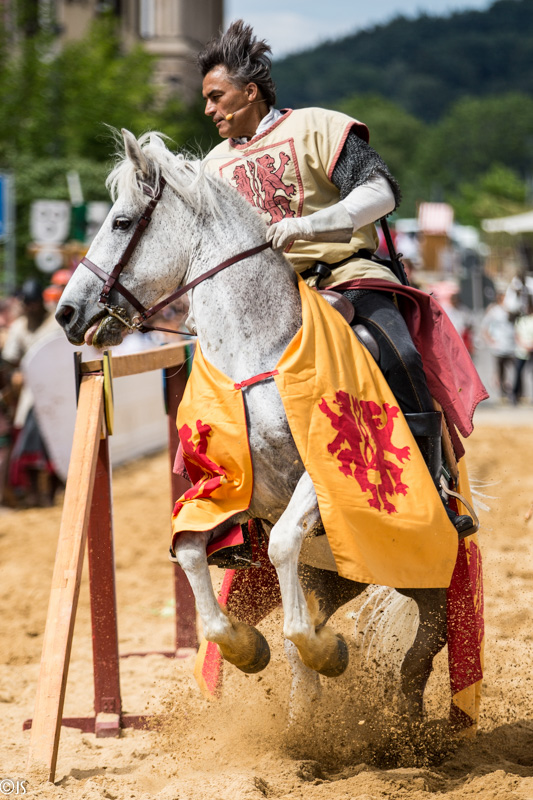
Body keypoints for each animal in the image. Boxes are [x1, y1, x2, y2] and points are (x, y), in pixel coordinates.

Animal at [57, 130, 448, 720]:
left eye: (121, 222)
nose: (65, 314)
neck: (256, 352)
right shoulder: (230, 489)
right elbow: (190, 550)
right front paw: (247, 647)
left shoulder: (325, 477)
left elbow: (284, 542)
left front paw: (324, 652)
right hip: (337, 571)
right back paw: (306, 712)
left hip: (426, 566)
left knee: (428, 636)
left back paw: (408, 716)